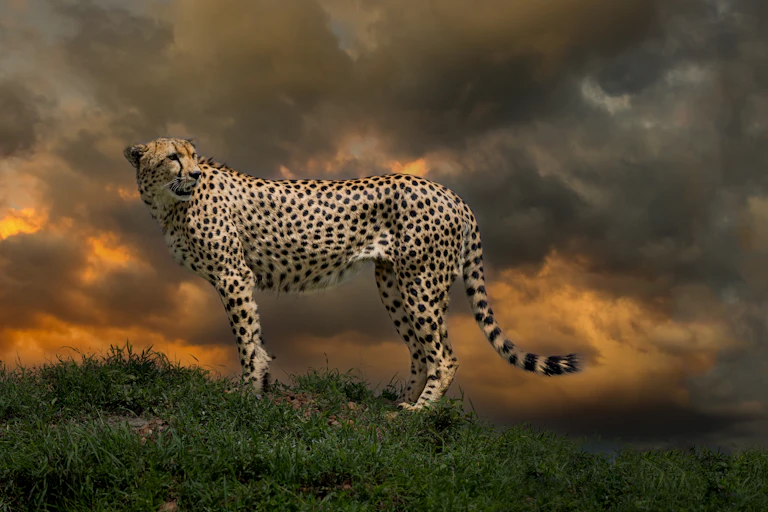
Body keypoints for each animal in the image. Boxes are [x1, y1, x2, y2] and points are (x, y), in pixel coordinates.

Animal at [123, 137, 581, 410]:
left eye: (192, 156)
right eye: (173, 157)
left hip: (421, 283)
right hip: (393, 284)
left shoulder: (234, 275)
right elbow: (256, 335)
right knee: (420, 352)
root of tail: (450, 192)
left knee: (443, 355)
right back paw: (395, 405)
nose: (195, 172)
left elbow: (246, 339)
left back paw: (419, 413)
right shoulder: (238, 278)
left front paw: (248, 393)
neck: (170, 204)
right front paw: (263, 387)